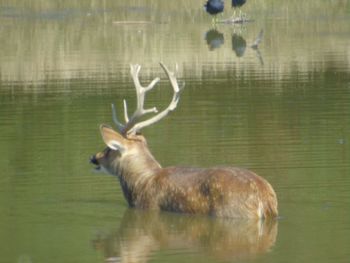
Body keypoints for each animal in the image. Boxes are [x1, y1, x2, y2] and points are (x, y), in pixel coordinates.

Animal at [91, 63, 278, 220]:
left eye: (109, 149)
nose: (93, 157)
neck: (141, 182)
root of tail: (264, 199)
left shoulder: (148, 206)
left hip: (233, 211)